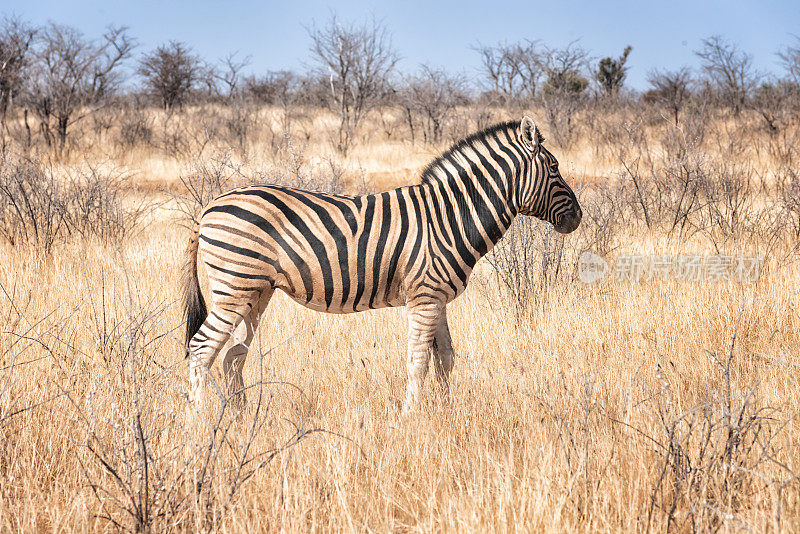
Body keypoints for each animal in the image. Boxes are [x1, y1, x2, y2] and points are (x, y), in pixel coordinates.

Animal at [181, 118, 580, 414]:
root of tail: (209, 207)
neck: (450, 218)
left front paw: (447, 413)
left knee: (231, 357)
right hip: (234, 287)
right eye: (555, 168)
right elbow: (418, 361)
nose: (577, 217)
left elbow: (445, 358)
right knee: (201, 349)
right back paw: (201, 423)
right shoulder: (425, 297)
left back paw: (239, 420)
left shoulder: (437, 298)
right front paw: (411, 417)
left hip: (256, 292)